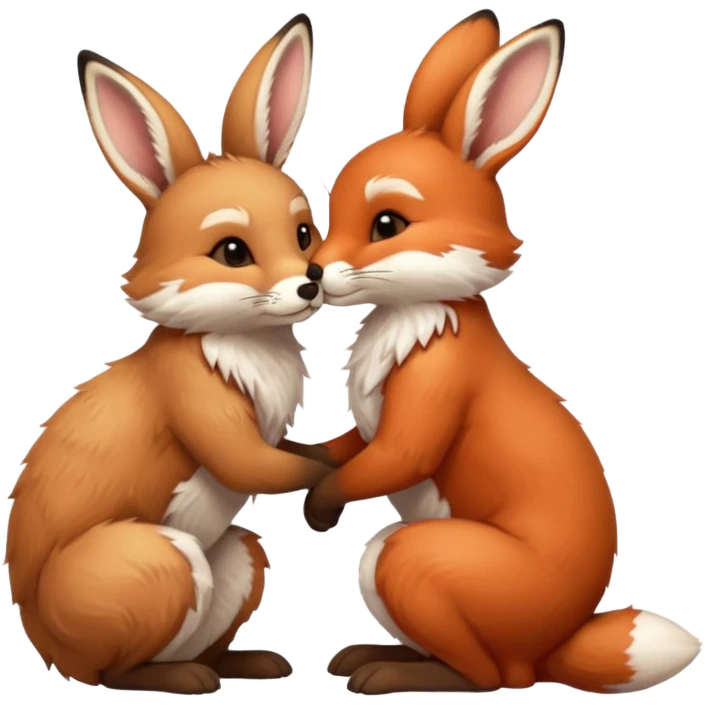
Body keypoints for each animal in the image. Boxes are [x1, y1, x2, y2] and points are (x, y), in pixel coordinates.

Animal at [4, 13, 338, 695]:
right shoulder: (205, 410)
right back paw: (184, 681)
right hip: (162, 561)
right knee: (116, 672)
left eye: (302, 234)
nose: (310, 283)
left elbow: (300, 454)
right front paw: (335, 485)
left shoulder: (268, 435)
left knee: (196, 646)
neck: (245, 345)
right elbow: (264, 466)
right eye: (233, 252)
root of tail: (49, 646)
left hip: (238, 555)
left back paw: (242, 664)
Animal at [301, 10, 704, 696]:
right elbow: (345, 449)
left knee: (493, 677)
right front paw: (303, 460)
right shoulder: (373, 425)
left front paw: (320, 507)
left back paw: (390, 673)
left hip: (409, 561)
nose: (314, 273)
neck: (418, 314)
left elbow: (392, 458)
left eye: (388, 224)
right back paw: (371, 657)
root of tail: (556, 645)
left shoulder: (432, 393)